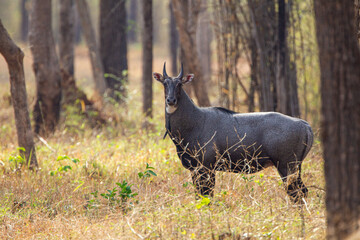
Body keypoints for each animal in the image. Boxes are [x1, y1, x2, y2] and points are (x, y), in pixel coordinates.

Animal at [152, 62, 312, 202]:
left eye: (180, 84)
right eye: (164, 83)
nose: (171, 100)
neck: (195, 121)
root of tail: (306, 126)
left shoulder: (206, 167)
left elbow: (207, 195)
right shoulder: (194, 168)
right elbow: (199, 195)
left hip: (286, 165)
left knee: (297, 193)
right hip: (295, 167)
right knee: (302, 191)